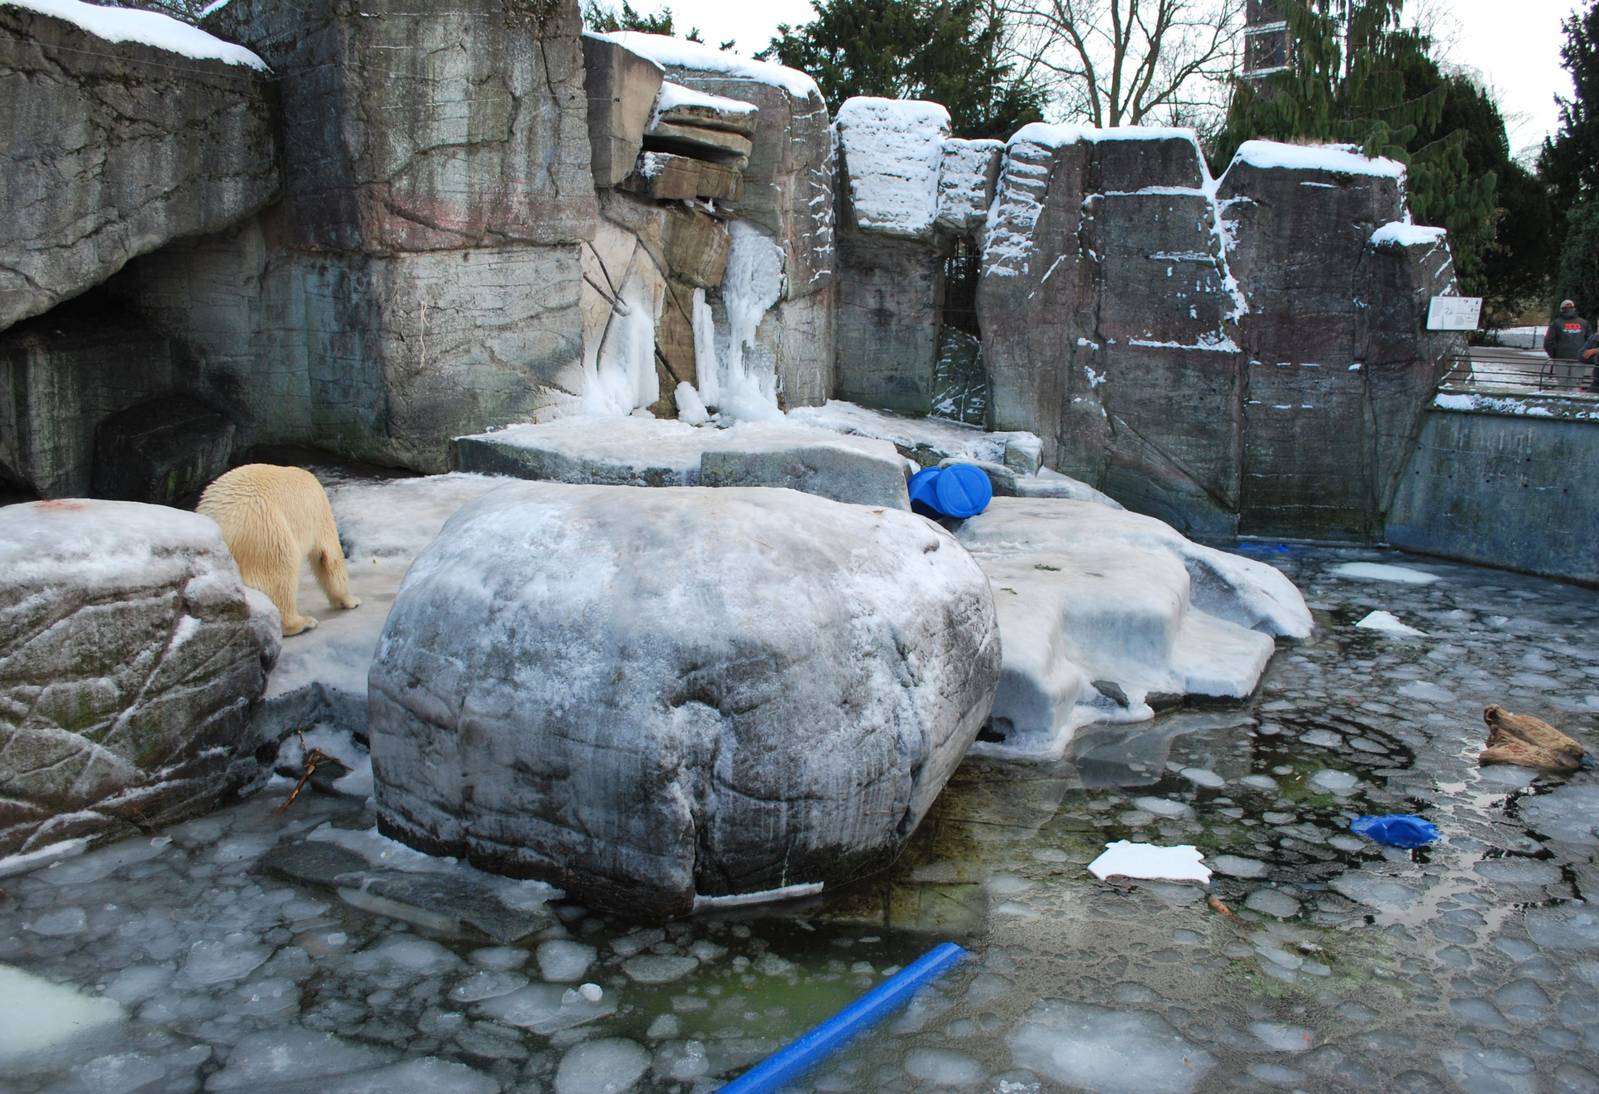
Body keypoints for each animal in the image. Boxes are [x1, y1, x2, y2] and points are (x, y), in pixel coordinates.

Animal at [197, 464, 360, 637]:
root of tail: (225, 529)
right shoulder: (319, 509)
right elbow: (328, 555)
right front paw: (350, 600)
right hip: (267, 531)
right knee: (282, 572)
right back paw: (302, 623)